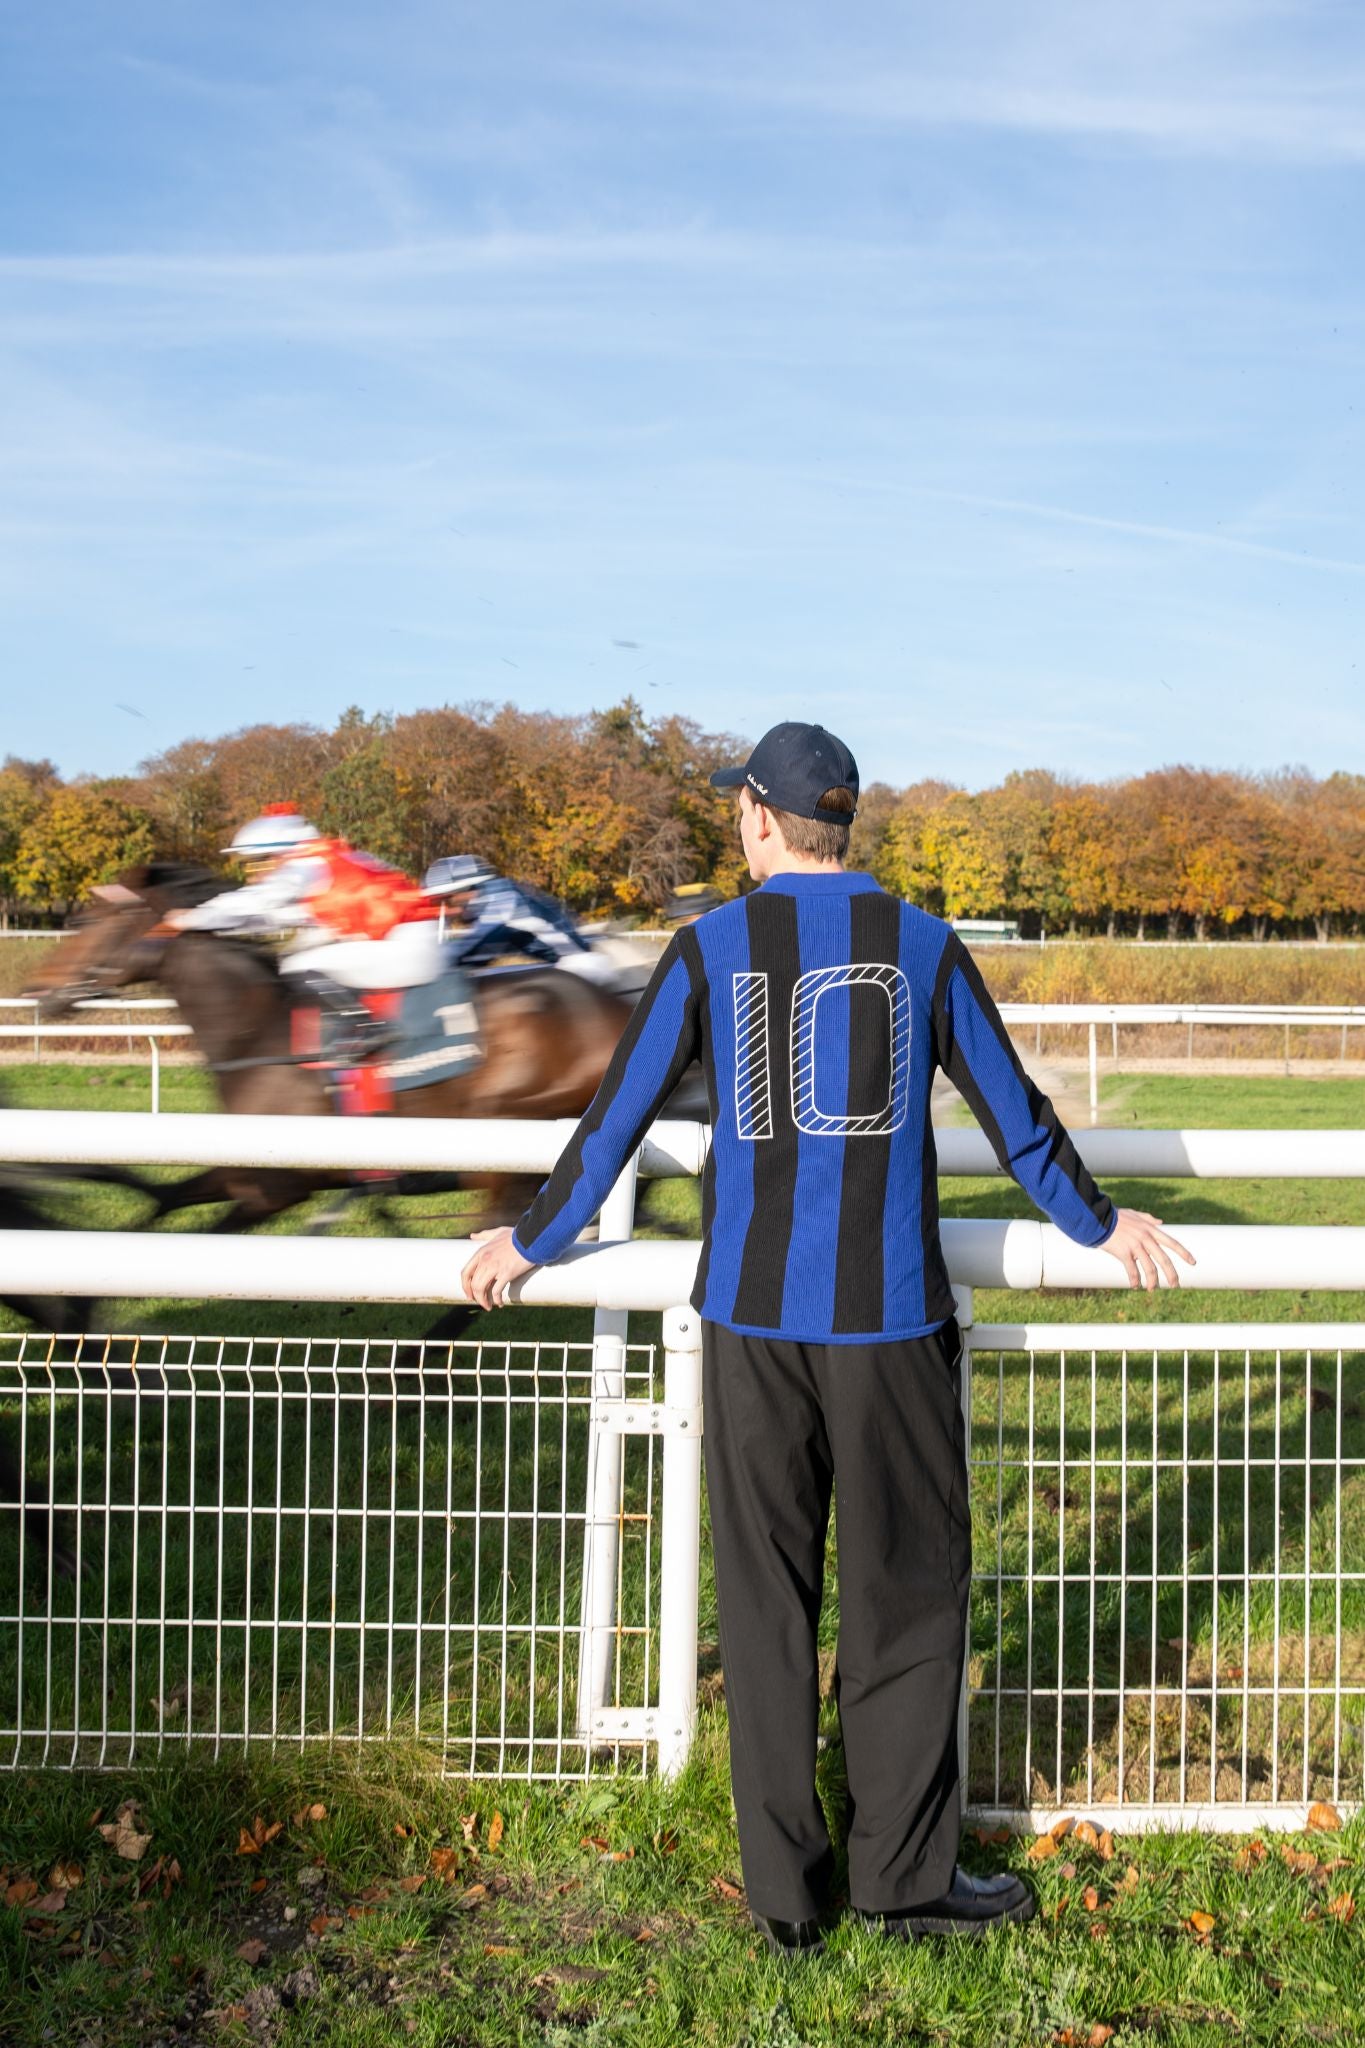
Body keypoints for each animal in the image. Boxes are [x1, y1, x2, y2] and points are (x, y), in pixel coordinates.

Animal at [25, 860, 634, 1228]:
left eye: (95, 918)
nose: (36, 988)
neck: (259, 1030)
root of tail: (614, 1004)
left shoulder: (275, 1188)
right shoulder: (241, 1169)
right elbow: (160, 1207)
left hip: (504, 1126)